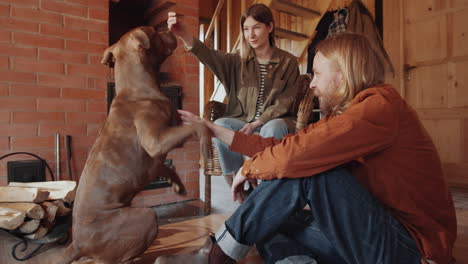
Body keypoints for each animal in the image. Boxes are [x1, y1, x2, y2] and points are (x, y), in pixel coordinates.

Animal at [54, 26, 208, 264]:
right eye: (154, 31)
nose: (167, 28)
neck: (136, 89)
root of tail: (77, 244)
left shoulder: (155, 160)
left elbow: (167, 167)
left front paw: (177, 185)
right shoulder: (156, 141)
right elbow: (193, 127)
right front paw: (206, 134)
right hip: (146, 217)